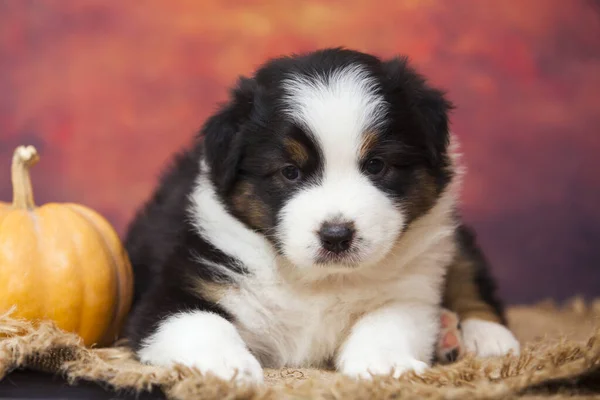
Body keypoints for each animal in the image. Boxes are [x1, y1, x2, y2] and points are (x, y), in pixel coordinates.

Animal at [123, 48, 520, 382]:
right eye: (290, 172)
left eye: (376, 165)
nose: (336, 236)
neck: (320, 280)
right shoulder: (174, 290)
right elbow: (199, 321)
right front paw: (226, 366)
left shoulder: (411, 290)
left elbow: (387, 321)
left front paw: (385, 364)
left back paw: (485, 337)